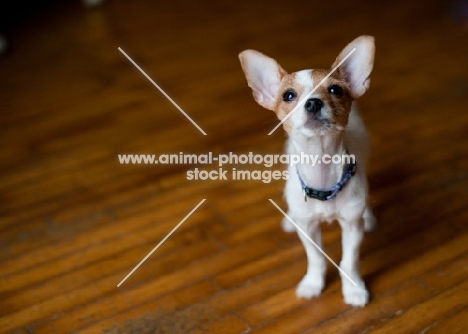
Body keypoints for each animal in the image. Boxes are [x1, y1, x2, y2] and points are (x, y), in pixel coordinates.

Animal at [241, 36, 376, 306]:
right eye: (288, 95)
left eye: (335, 90)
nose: (313, 102)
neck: (321, 168)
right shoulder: (309, 229)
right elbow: (316, 259)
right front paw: (313, 284)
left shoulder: (351, 228)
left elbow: (349, 261)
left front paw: (354, 289)